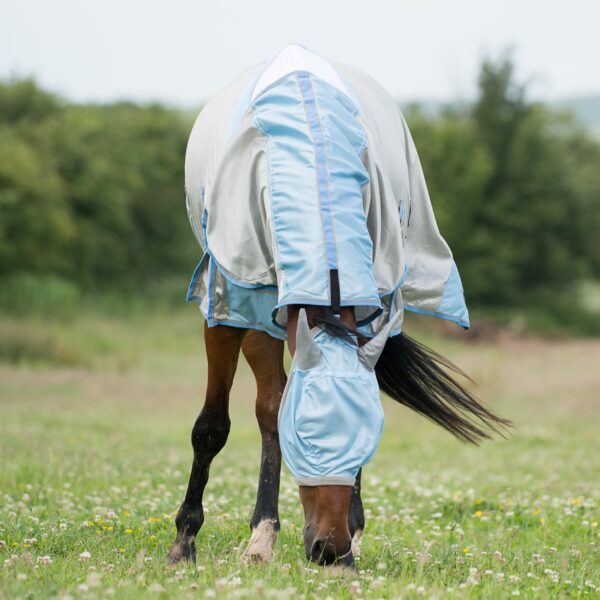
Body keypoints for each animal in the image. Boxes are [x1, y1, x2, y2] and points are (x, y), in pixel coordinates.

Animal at [165, 45, 510, 568]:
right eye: (305, 437)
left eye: (367, 437)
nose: (330, 550)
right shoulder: (228, 304)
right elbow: (213, 428)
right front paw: (184, 541)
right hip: (260, 321)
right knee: (267, 408)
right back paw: (261, 537)